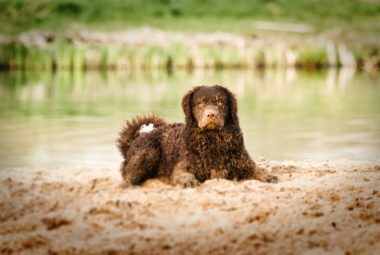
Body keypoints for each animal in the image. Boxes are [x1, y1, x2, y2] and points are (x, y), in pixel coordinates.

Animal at [117, 84, 278, 186]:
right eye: (200, 103)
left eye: (220, 102)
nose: (211, 114)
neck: (213, 141)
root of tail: (134, 141)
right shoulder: (184, 166)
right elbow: (183, 174)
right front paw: (188, 180)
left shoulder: (244, 163)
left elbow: (258, 169)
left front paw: (268, 176)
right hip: (148, 151)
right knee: (128, 178)